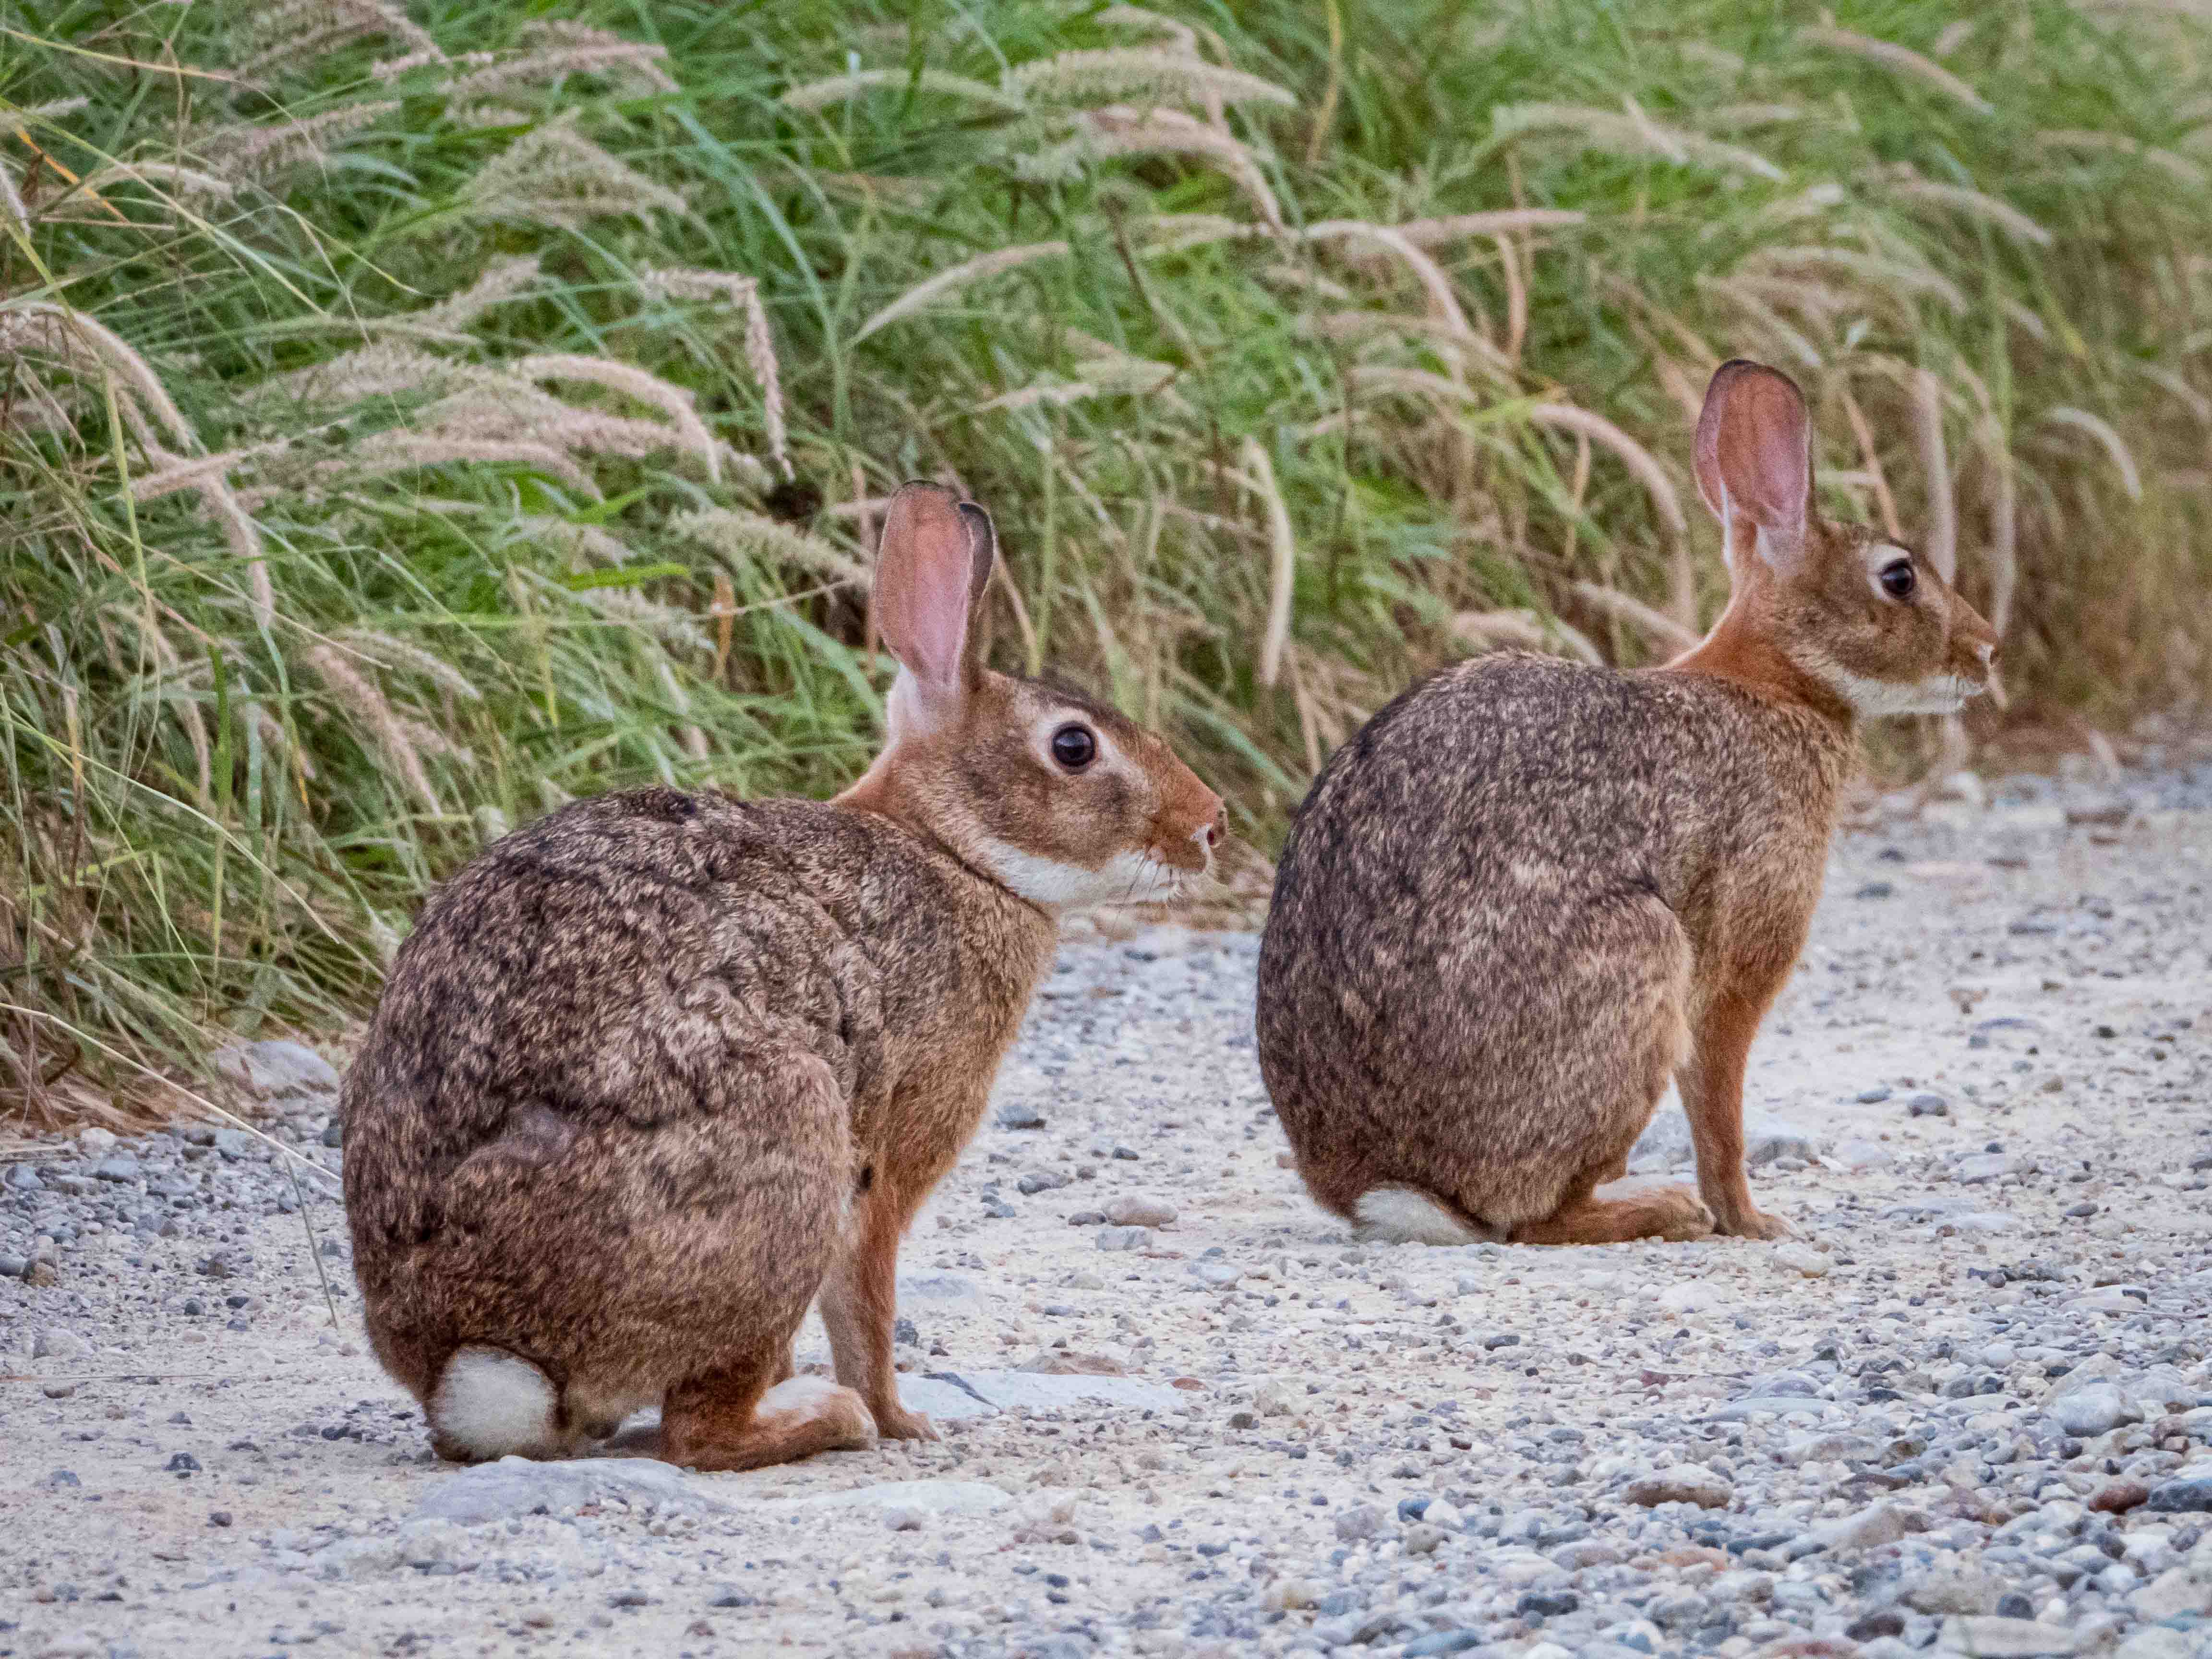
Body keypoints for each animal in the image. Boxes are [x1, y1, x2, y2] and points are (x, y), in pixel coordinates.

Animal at [340, 480, 1230, 1468]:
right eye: (1074, 747)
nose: (1212, 824)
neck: (952, 851)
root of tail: (484, 1364)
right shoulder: (889, 1155)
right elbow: (868, 1303)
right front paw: (903, 1419)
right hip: (790, 1148)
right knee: (699, 1432)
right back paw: (828, 1417)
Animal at [1265, 361, 2008, 1247]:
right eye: (1898, 577)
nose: (1986, 650)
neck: (1780, 680)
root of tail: (1390, 1188)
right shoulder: (1740, 949)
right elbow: (1719, 1107)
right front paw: (1751, 1220)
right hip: (1636, 961)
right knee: (1533, 1218)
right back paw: (1664, 1210)